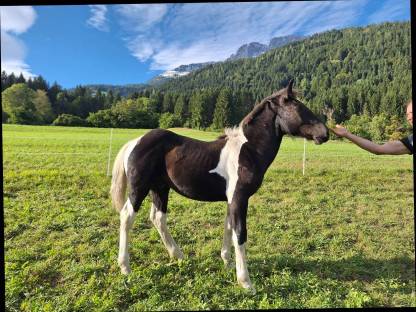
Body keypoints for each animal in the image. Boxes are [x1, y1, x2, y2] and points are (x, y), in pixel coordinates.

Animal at [109, 78, 328, 292]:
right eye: (298, 107)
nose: (325, 133)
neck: (248, 150)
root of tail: (135, 142)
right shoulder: (239, 198)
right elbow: (240, 233)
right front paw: (245, 282)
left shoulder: (232, 199)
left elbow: (229, 226)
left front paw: (228, 263)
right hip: (139, 189)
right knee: (127, 216)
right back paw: (125, 267)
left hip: (160, 188)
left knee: (158, 218)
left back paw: (178, 256)